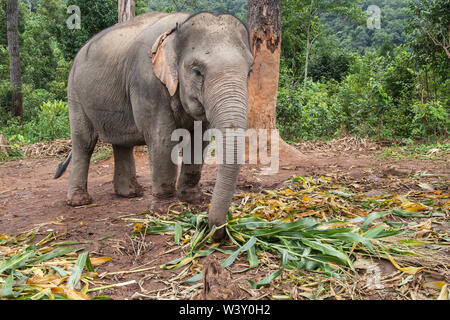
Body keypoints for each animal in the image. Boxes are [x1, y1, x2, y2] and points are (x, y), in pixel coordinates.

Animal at [53, 12, 253, 240]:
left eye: (250, 71)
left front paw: (192, 198)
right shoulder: (147, 83)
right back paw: (79, 201)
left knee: (121, 143)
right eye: (197, 71)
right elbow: (162, 139)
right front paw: (168, 211)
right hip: (74, 93)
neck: (179, 27)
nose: (214, 230)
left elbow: (199, 138)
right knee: (84, 142)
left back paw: (130, 193)